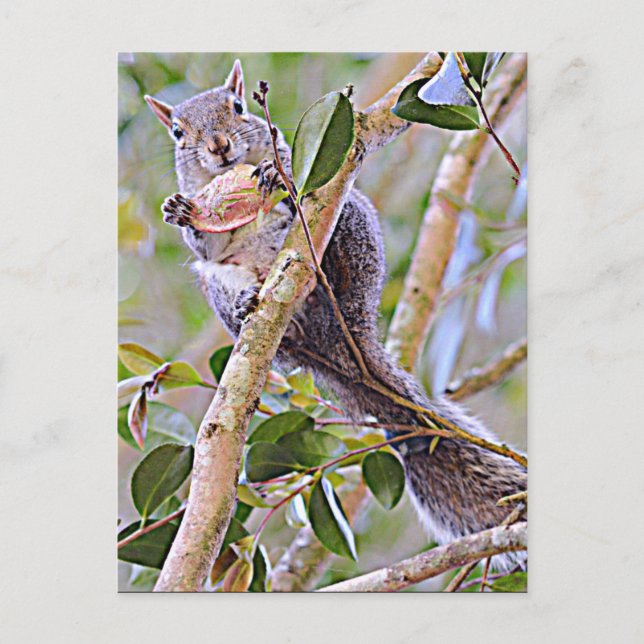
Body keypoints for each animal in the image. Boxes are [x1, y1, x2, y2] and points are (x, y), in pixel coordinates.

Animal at [145, 59, 527, 571]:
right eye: (178, 131)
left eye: (239, 106)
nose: (219, 146)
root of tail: (341, 338)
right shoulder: (212, 246)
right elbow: (207, 243)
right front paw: (179, 209)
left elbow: (287, 168)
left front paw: (275, 171)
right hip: (217, 285)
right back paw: (255, 309)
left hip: (350, 224)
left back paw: (325, 268)